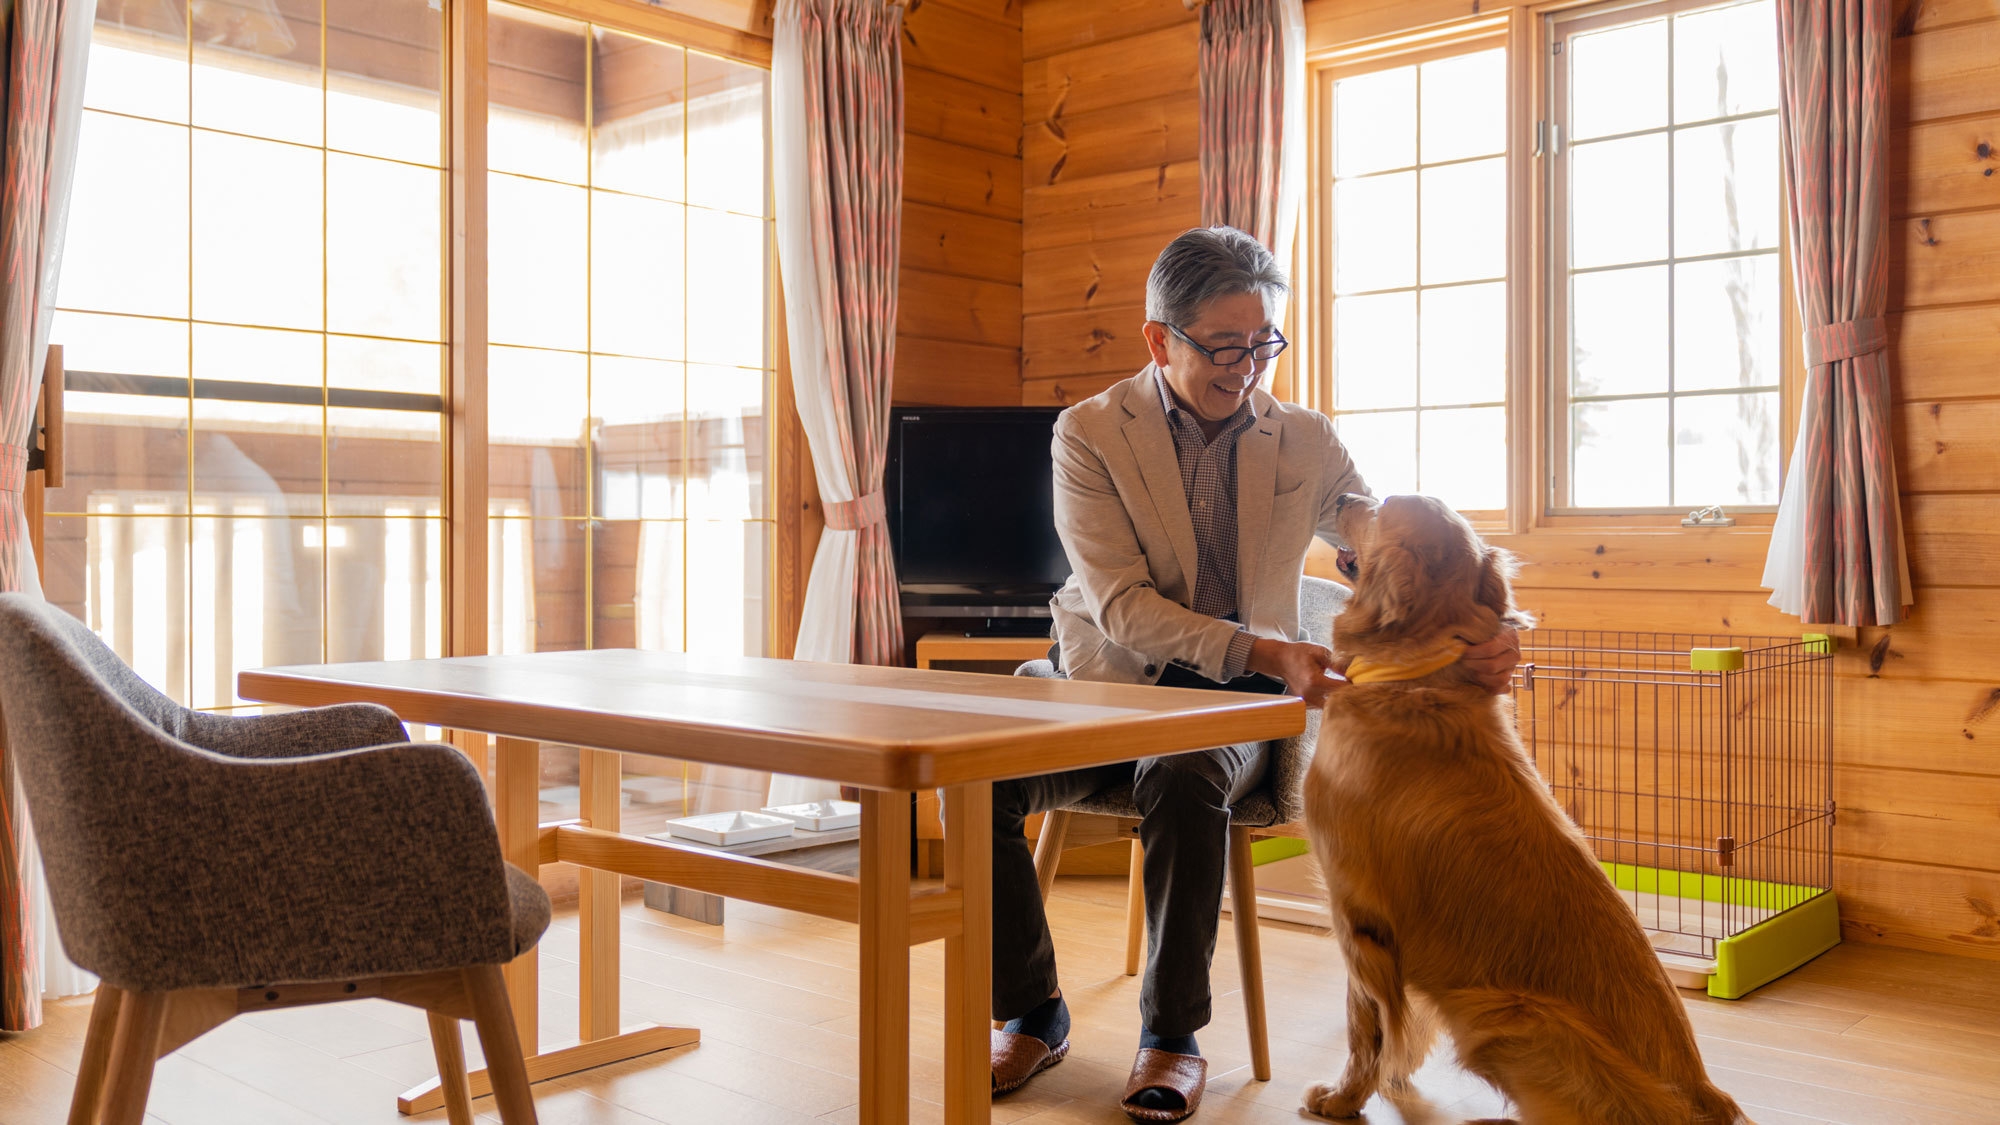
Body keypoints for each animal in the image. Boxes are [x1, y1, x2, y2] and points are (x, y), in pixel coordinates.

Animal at [1304, 492, 1744, 1120]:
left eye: (1380, 504)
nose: (1342, 495)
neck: (1413, 678)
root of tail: (1706, 1097)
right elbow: (1400, 1026)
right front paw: (1392, 1076)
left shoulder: (1355, 912)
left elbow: (1367, 1026)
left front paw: (1343, 1098)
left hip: (1506, 1015)